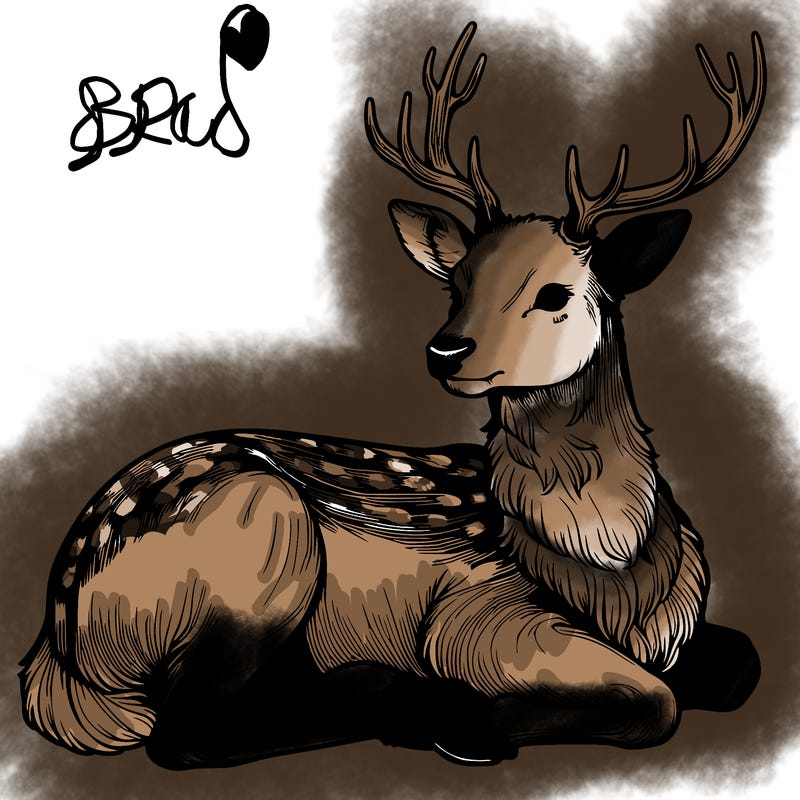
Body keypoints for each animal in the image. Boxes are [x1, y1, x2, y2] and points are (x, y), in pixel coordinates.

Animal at [20, 22, 765, 769]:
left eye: (555, 293)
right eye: (458, 283)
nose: (446, 349)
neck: (615, 572)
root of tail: (54, 650)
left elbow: (741, 661)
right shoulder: (479, 613)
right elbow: (655, 701)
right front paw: (468, 726)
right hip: (260, 541)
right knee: (185, 732)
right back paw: (402, 693)